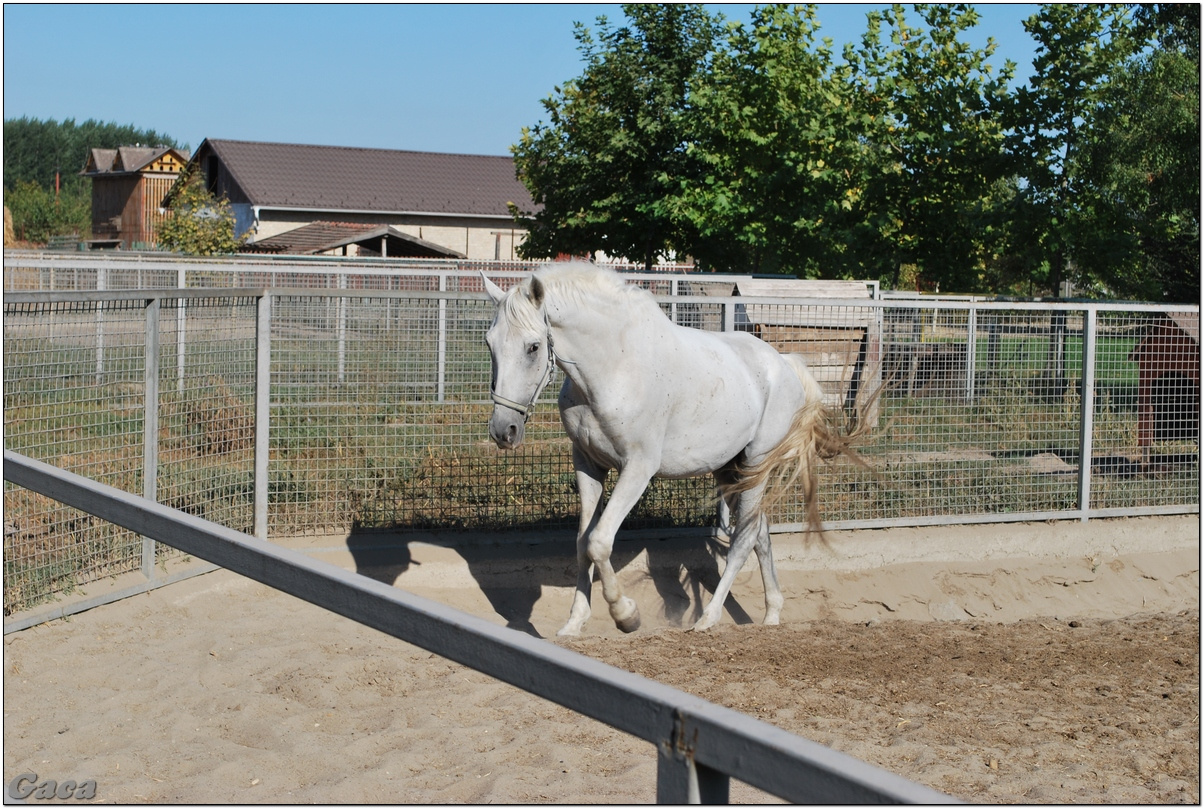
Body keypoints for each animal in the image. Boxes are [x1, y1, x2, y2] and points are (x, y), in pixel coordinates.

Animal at [484, 262, 862, 635]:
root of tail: (785, 364)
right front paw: (574, 623)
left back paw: (708, 619)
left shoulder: (637, 469)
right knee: (761, 534)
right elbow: (582, 544)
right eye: (490, 344)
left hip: (758, 463)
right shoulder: (588, 465)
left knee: (743, 540)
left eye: (533, 347)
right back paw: (771, 616)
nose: (504, 430)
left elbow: (599, 542)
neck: (614, 368)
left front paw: (625, 615)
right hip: (731, 470)